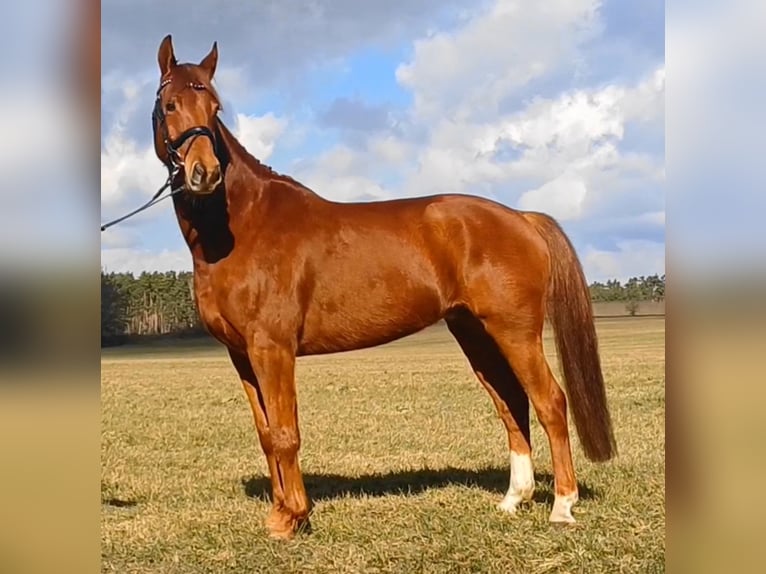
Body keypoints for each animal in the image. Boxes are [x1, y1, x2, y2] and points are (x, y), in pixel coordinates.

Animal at [149, 34, 617, 540]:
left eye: (215, 108)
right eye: (170, 104)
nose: (205, 173)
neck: (242, 227)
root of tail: (522, 218)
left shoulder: (272, 349)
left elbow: (286, 433)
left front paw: (295, 517)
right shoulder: (243, 354)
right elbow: (267, 435)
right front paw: (279, 514)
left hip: (515, 332)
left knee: (549, 401)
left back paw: (562, 505)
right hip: (475, 333)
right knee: (511, 402)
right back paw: (514, 499)